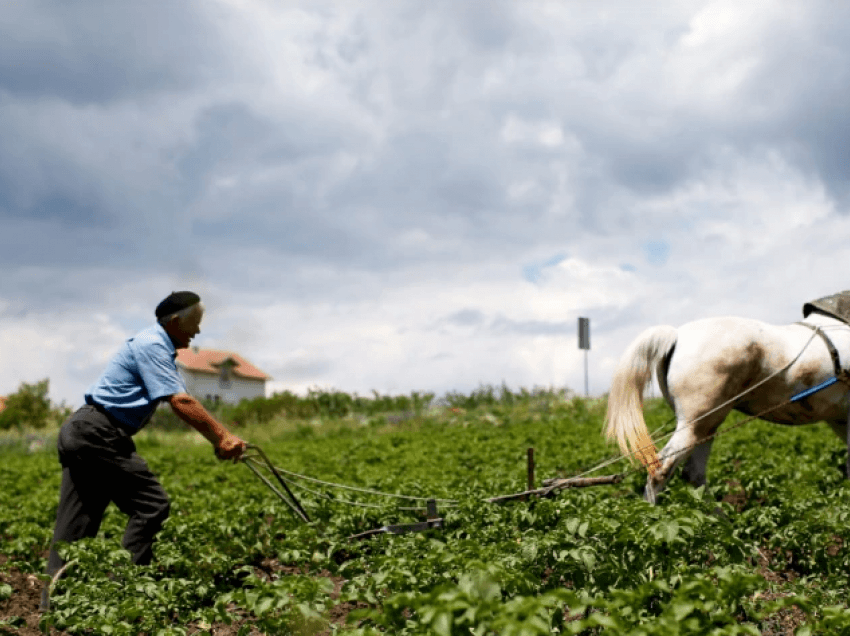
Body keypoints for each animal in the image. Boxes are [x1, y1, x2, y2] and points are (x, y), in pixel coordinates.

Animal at [600, 310, 848, 504]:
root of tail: (677, 335)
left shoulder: (839, 419)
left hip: (706, 426)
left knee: (693, 474)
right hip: (696, 423)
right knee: (660, 469)